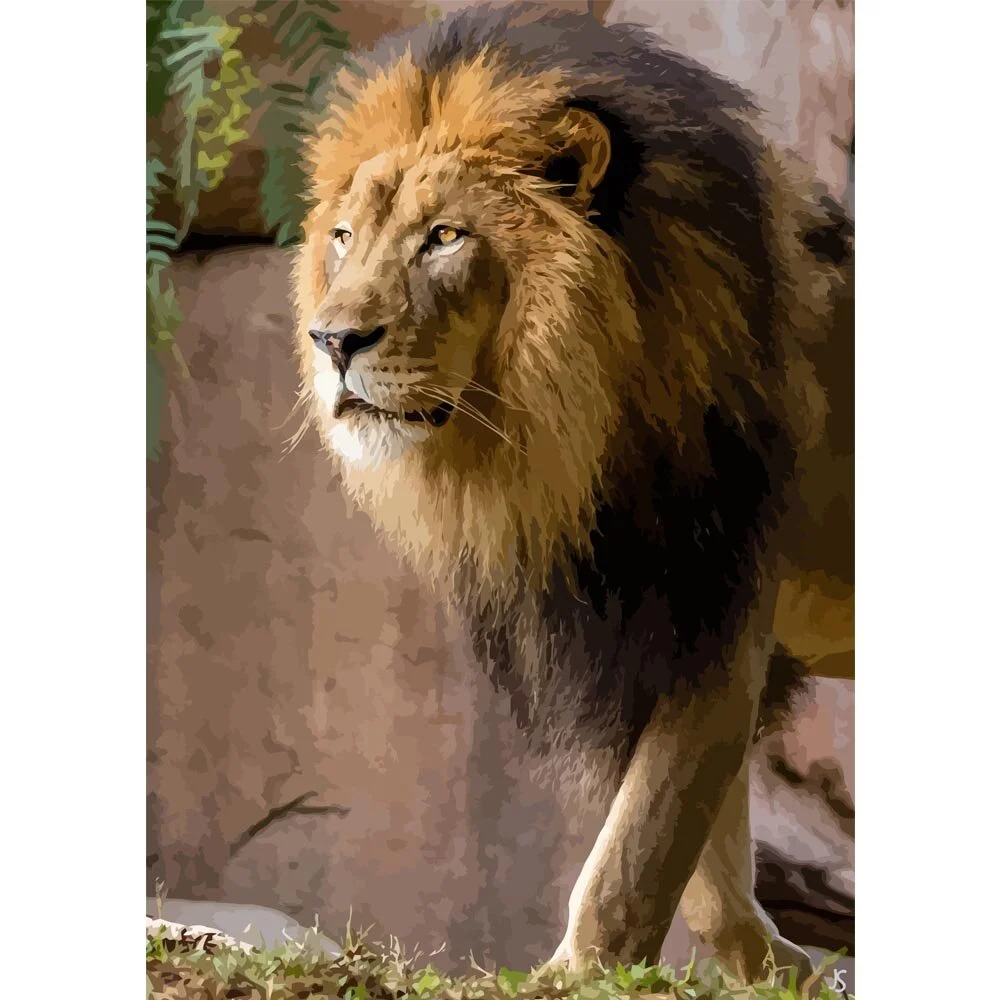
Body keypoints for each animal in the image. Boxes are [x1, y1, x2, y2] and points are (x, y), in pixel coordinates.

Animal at [293, 3, 853, 987]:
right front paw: (781, 972)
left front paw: (575, 975)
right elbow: (700, 861)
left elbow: (640, 843)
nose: (333, 341)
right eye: (345, 238)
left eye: (445, 237)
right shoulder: (634, 625)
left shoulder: (715, 600)